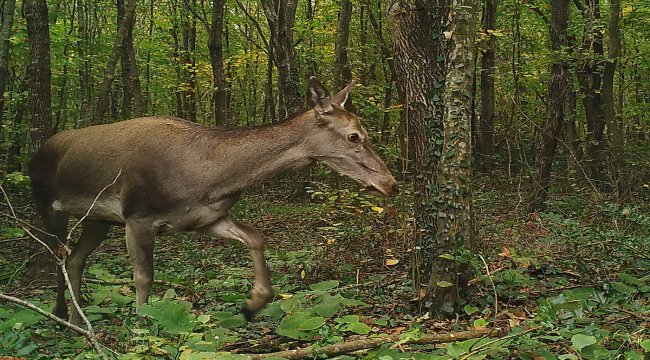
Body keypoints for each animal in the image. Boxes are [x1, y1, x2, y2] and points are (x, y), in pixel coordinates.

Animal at [30, 77, 398, 324]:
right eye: (354, 136)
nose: (390, 183)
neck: (210, 176)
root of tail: (36, 151)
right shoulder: (138, 216)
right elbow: (144, 277)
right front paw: (142, 327)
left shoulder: (204, 218)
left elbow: (256, 238)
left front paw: (252, 304)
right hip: (46, 205)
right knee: (56, 256)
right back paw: (59, 313)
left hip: (97, 220)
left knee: (75, 260)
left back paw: (76, 320)